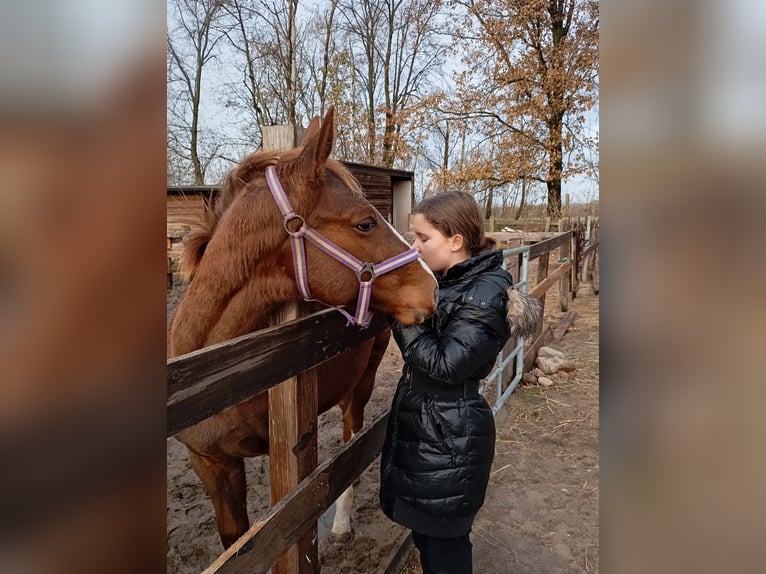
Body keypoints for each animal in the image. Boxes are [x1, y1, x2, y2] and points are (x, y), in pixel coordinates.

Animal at [170, 106, 440, 552]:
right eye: (365, 223)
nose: (432, 286)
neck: (215, 370)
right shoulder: (211, 463)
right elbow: (235, 542)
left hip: (362, 383)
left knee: (351, 441)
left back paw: (342, 523)